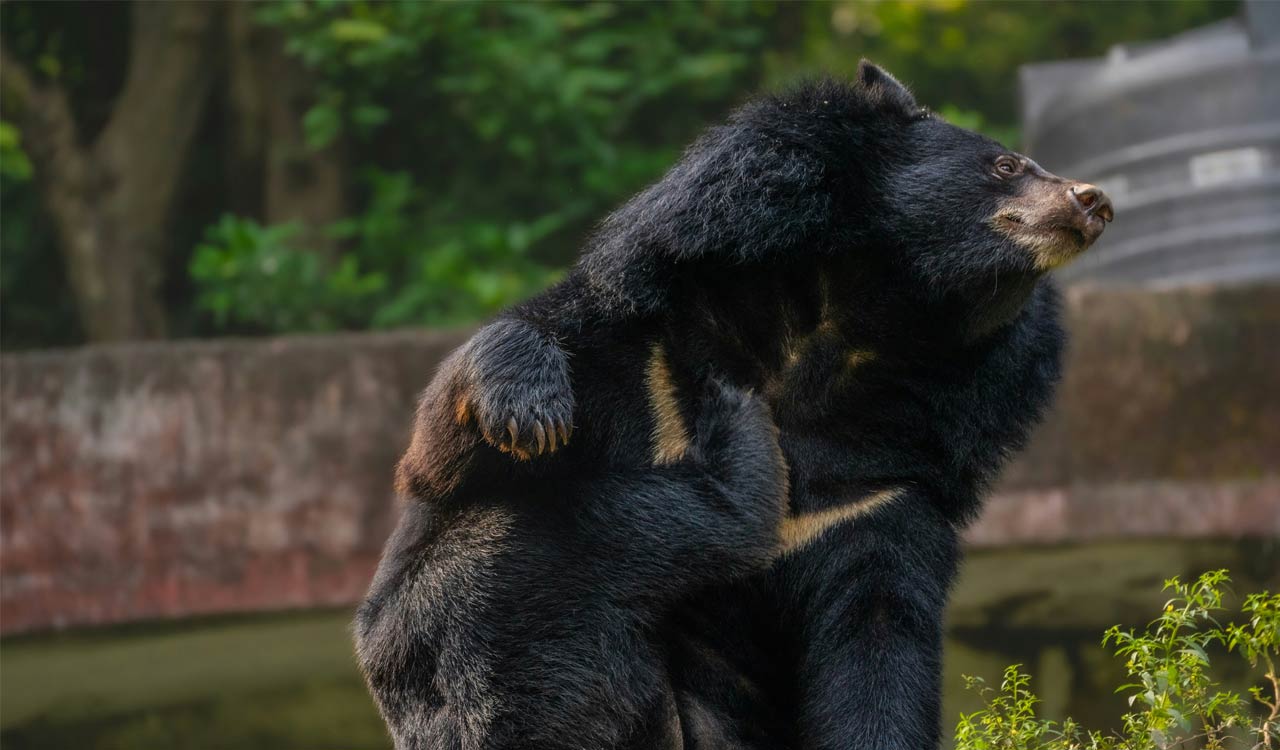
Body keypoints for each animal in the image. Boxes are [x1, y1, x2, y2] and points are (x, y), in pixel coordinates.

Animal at [445, 61, 1113, 748]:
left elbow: (876, 641)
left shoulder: (877, 498)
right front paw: (526, 413)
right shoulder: (654, 351)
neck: (852, 325)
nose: (1096, 201)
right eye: (1006, 165)